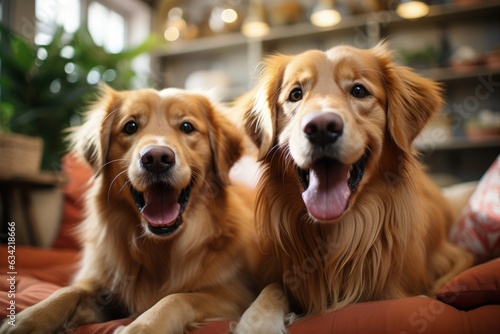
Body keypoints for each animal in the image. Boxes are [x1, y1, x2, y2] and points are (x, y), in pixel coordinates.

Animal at [2, 87, 262, 334]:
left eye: (187, 127)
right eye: (130, 126)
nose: (156, 158)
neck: (159, 248)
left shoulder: (235, 293)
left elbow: (177, 297)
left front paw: (143, 326)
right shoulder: (99, 281)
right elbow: (67, 291)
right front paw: (27, 318)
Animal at [234, 43, 472, 332]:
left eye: (359, 90)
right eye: (296, 94)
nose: (321, 127)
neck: (335, 234)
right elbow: (272, 287)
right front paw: (257, 322)